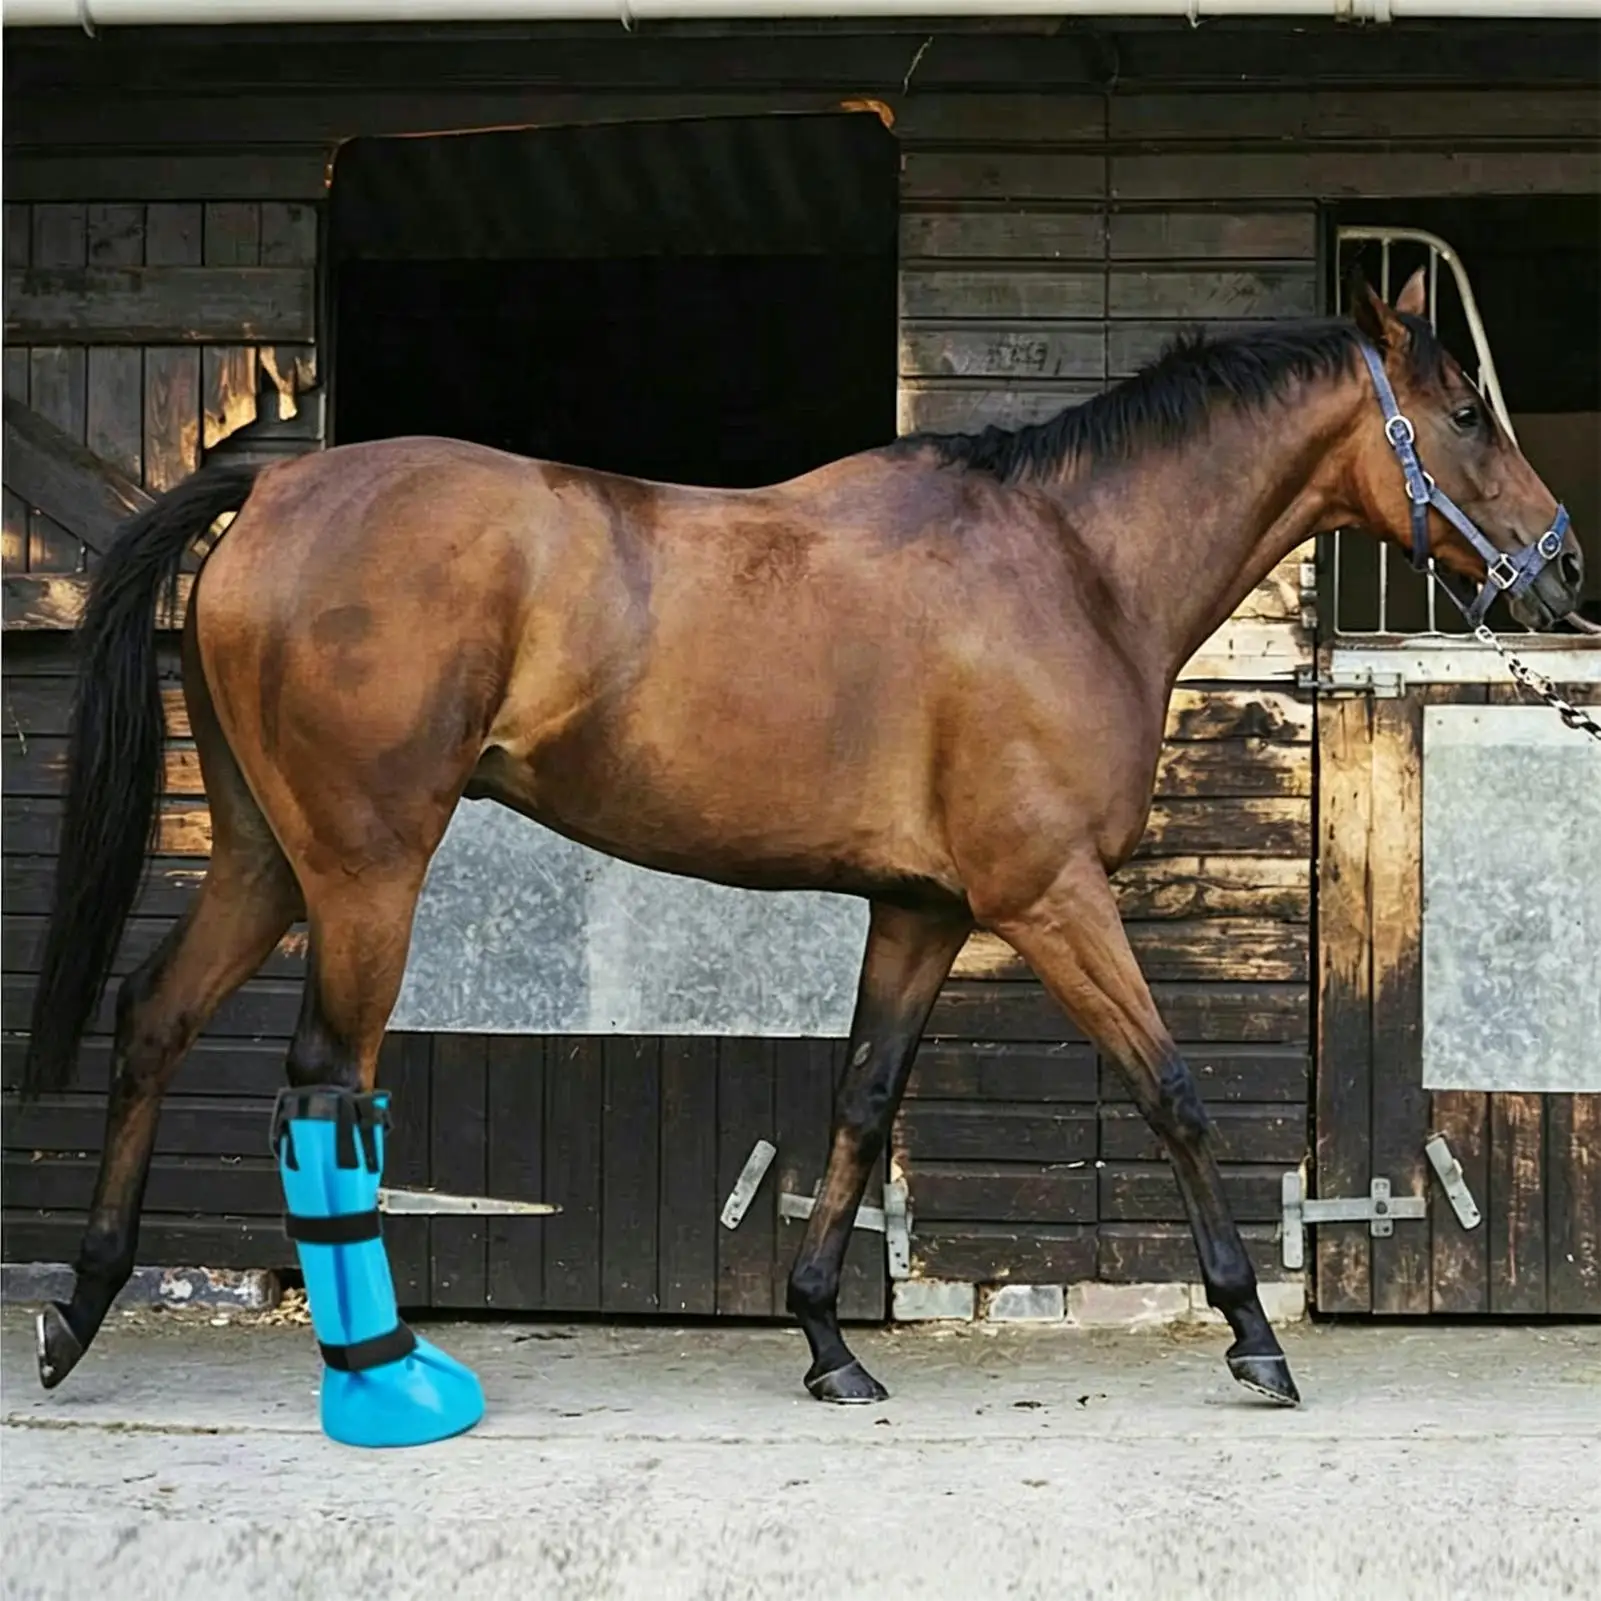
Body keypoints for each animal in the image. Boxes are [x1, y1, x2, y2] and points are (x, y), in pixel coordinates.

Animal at [22, 268, 1581, 1408]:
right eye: (1461, 412)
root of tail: (277, 488)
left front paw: (829, 1341)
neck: (1069, 566)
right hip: (363, 874)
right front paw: (1252, 1333)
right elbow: (1173, 1090)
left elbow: (860, 1099)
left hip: (266, 861)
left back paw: (79, 1309)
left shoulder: (922, 908)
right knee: (324, 1087)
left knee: (157, 1019)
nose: (1557, 566)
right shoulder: (1049, 895)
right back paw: (380, 1371)